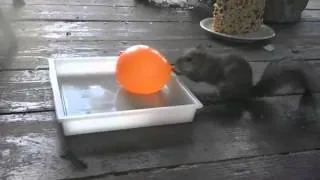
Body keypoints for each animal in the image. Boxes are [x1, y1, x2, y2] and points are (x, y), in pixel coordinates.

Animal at [174, 43, 320, 102]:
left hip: (226, 87)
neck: (206, 61)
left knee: (225, 98)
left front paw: (179, 72)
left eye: (189, 59)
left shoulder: (208, 71)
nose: (176, 62)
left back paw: (210, 97)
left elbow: (196, 77)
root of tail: (247, 91)